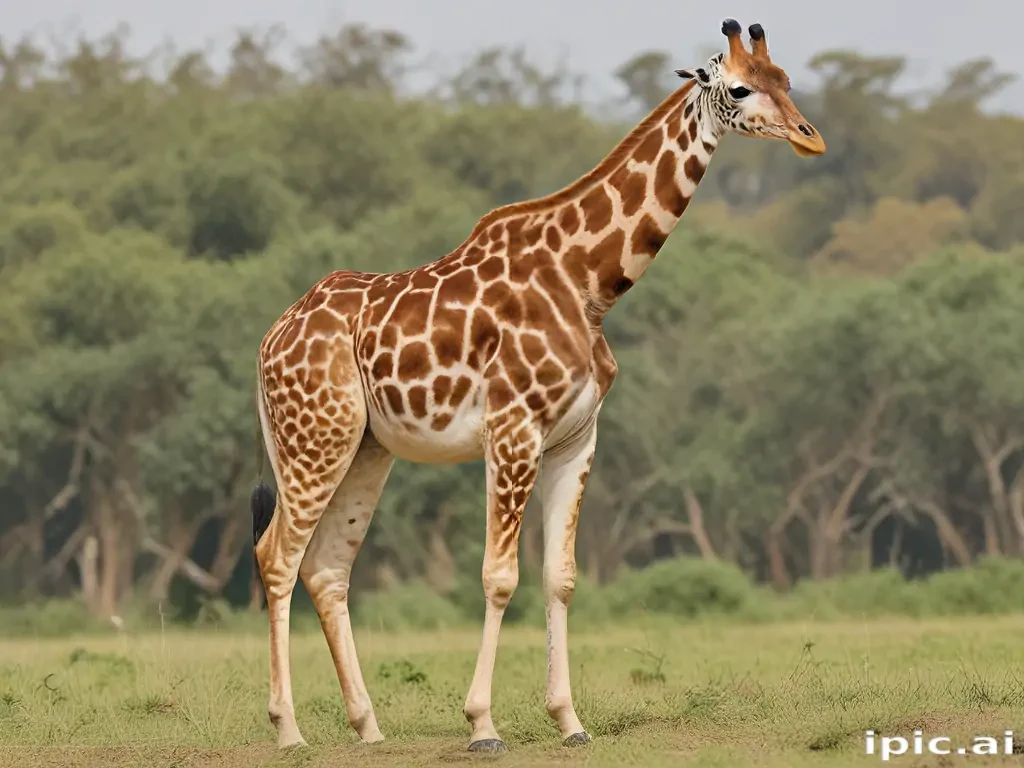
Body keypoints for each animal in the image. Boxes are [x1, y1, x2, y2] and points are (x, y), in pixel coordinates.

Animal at [251, 19, 825, 752]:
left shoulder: (576, 436)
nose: (810, 136)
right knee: (277, 556)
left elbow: (561, 578)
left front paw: (570, 720)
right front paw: (482, 725)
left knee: (326, 566)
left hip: (362, 448)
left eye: (787, 78)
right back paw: (289, 730)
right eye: (741, 87)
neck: (588, 282)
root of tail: (271, 338)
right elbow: (500, 577)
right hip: (314, 438)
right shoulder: (513, 429)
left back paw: (368, 727)